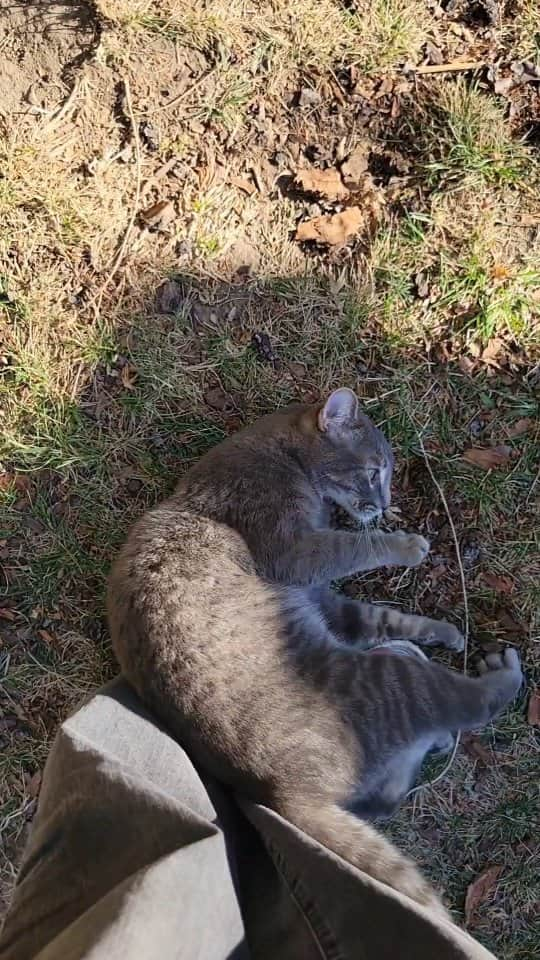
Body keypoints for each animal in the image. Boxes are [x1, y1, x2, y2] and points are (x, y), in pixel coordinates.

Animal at [107, 388, 520, 916]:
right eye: (374, 470)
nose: (384, 504)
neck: (282, 458)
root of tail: (287, 795)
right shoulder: (296, 553)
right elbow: (354, 547)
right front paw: (406, 546)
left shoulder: (322, 599)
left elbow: (380, 616)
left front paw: (442, 631)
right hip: (391, 683)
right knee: (471, 702)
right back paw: (496, 672)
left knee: (385, 793)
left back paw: (431, 702)